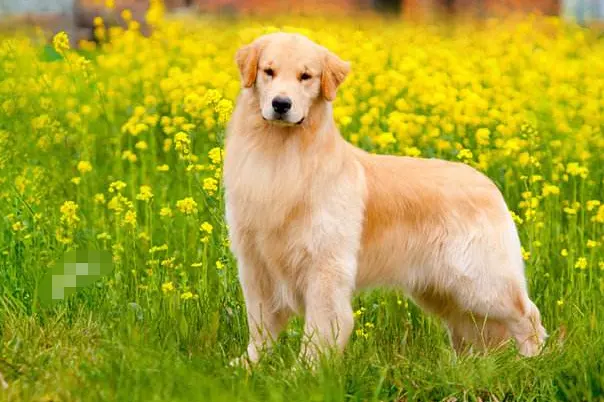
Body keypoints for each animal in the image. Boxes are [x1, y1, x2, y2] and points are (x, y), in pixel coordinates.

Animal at [223, 32, 548, 364]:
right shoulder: (255, 265)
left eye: (306, 76)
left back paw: (532, 360)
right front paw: (249, 364)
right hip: (443, 291)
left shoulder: (325, 266)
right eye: (268, 71)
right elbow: (260, 325)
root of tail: (489, 184)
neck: (279, 154)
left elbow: (320, 327)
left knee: (527, 314)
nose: (280, 104)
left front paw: (307, 369)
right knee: (471, 329)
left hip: (481, 282)